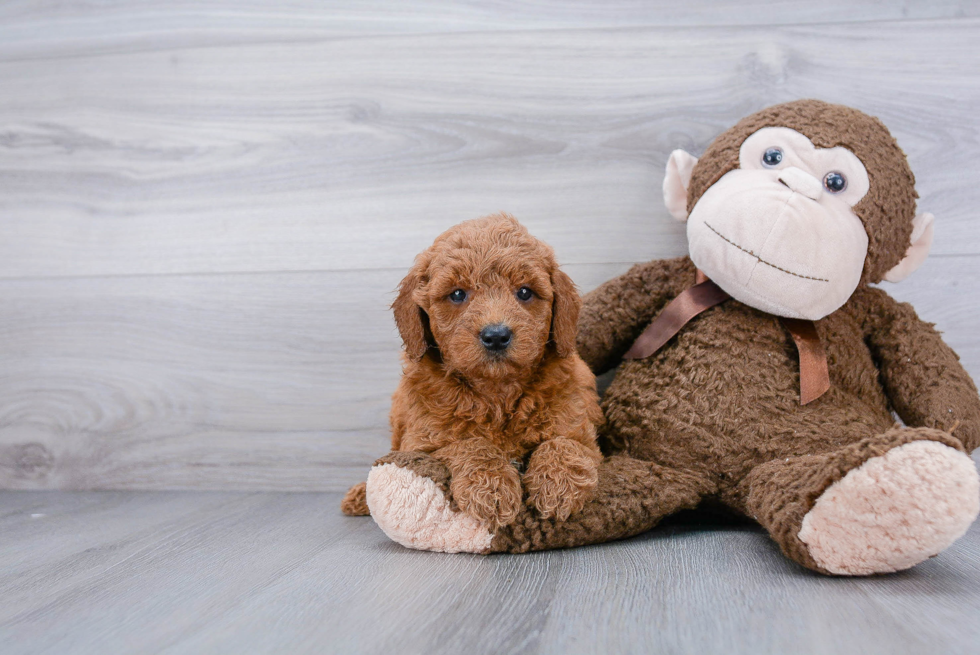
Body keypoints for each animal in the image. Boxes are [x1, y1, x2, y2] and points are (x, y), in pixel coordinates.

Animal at [344, 213, 604, 532]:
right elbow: (470, 444)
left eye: (525, 292)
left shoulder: (582, 433)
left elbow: (565, 443)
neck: (497, 391)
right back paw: (359, 495)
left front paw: (559, 486)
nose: (496, 335)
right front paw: (493, 489)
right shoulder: (422, 446)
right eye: (457, 294)